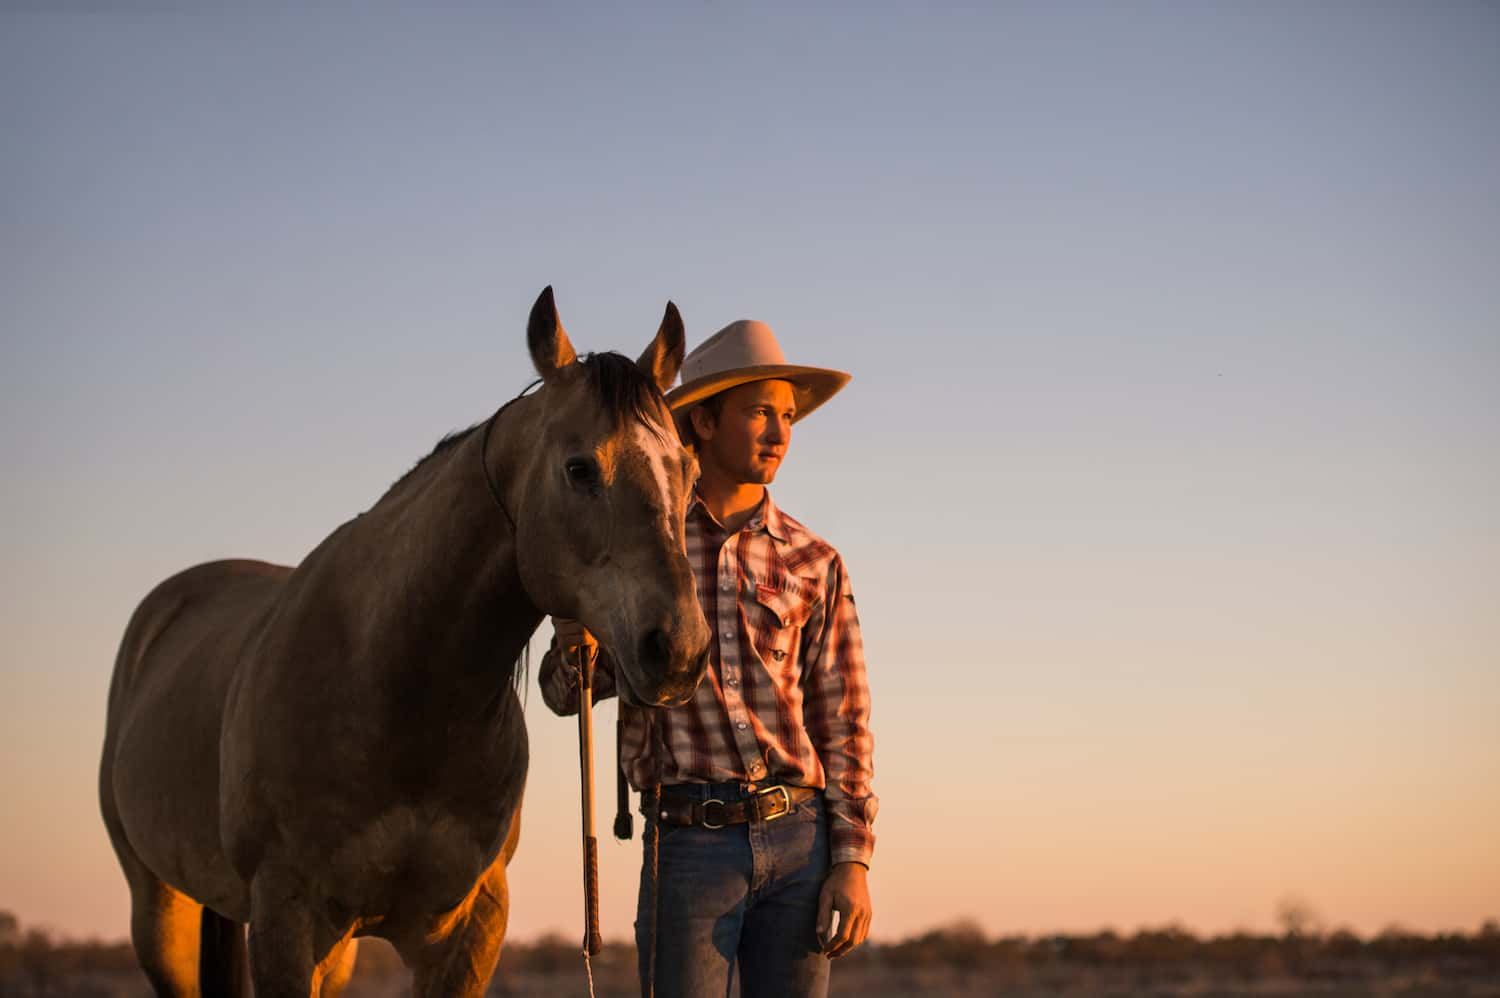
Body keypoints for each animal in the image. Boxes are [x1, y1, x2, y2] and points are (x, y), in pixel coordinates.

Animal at [99, 288, 714, 996]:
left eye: (688, 470)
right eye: (580, 467)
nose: (680, 649)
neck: (397, 688)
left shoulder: (469, 929)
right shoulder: (285, 921)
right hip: (162, 911)